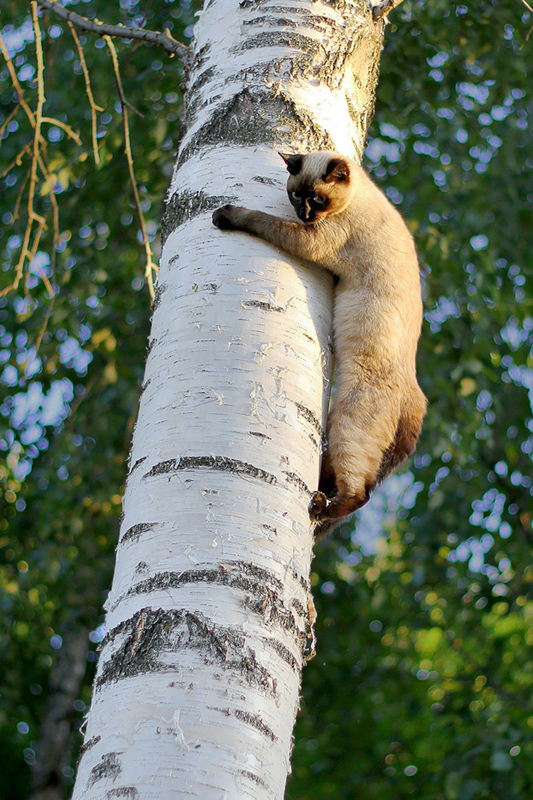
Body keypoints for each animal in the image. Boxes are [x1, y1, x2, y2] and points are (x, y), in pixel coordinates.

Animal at [211, 152, 424, 536]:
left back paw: (319, 508)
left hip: (347, 420)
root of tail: (417, 398)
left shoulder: (314, 239)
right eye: (297, 195)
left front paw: (227, 214)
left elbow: (261, 219)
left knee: (360, 492)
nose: (304, 213)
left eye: (319, 200)